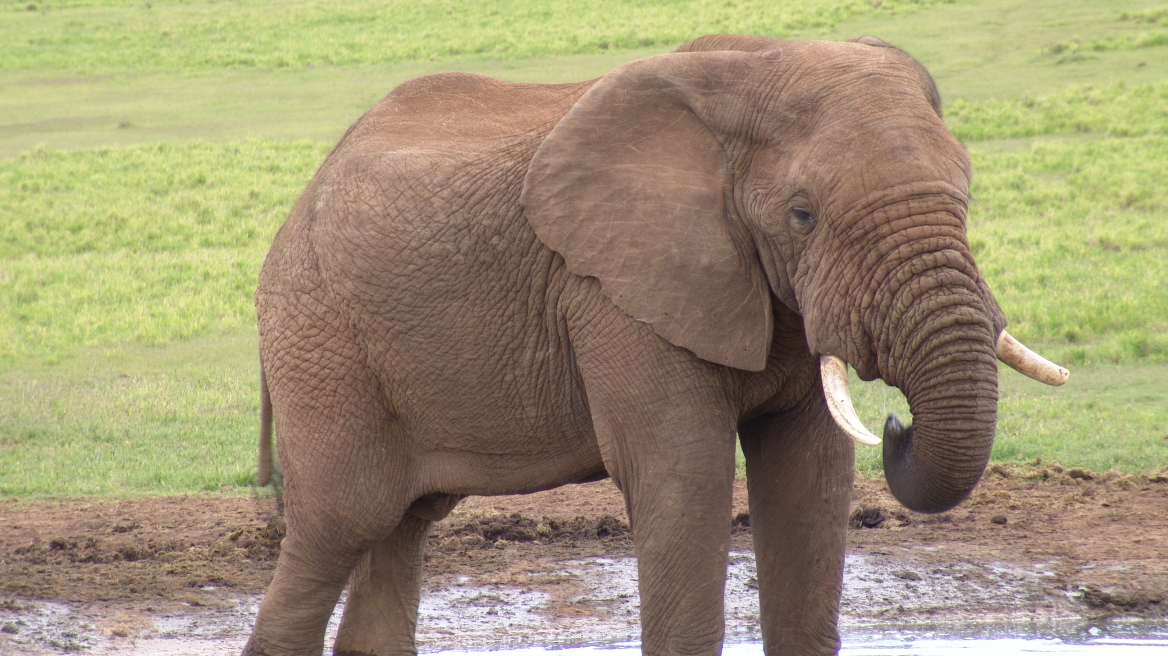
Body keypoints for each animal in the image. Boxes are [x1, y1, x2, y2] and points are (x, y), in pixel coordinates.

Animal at [244, 35, 1069, 653]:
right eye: (801, 214)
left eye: (966, 190)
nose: (898, 425)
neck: (752, 70)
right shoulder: (615, 290)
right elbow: (682, 476)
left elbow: (808, 475)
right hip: (319, 338)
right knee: (342, 524)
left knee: (404, 527)